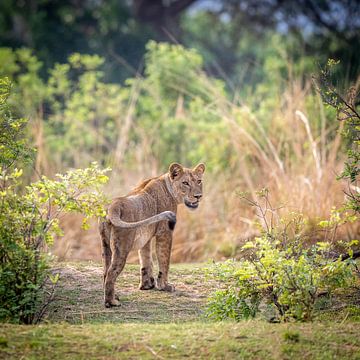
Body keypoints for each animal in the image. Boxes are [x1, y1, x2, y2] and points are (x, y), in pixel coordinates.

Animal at [99, 163, 205, 306]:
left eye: (199, 181)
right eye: (185, 183)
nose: (198, 196)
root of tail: (114, 205)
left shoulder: (146, 236)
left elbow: (146, 259)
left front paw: (147, 285)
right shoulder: (165, 232)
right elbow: (164, 260)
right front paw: (164, 286)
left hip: (105, 244)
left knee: (105, 271)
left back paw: (114, 296)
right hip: (122, 245)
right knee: (111, 272)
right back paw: (111, 302)